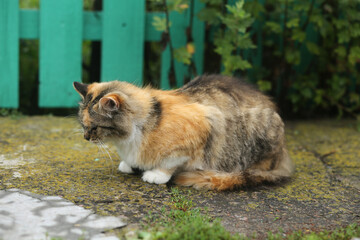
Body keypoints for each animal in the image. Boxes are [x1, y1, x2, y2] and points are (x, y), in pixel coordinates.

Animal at [72, 75, 292, 191]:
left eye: (94, 127)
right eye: (83, 125)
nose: (85, 137)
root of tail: (284, 152)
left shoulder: (204, 126)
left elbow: (171, 161)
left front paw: (156, 175)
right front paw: (130, 164)